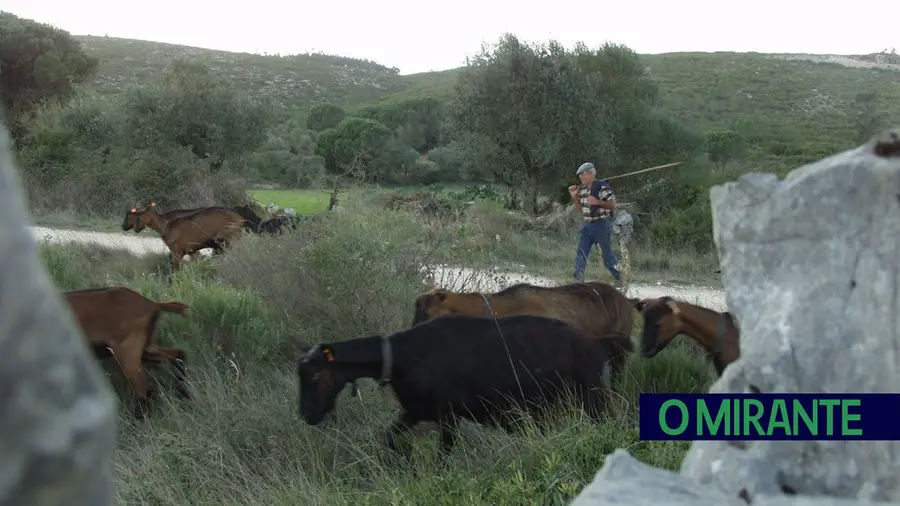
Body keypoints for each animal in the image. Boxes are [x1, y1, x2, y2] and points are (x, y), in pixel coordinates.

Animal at [63, 286, 192, 418]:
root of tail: (153, 304)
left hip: (128, 354)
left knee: (142, 389)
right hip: (147, 348)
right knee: (179, 354)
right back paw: (184, 394)